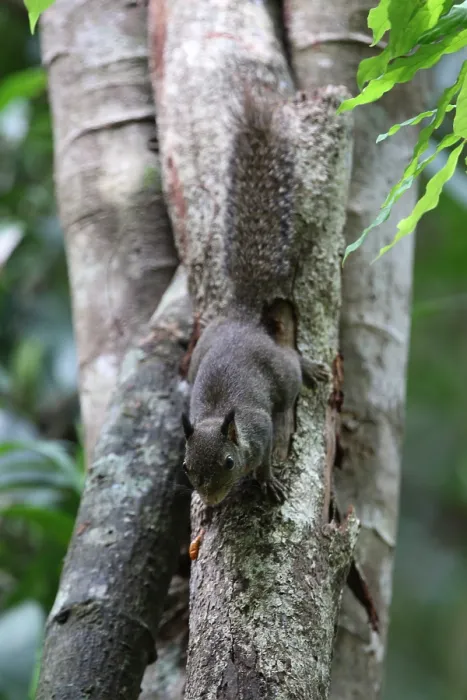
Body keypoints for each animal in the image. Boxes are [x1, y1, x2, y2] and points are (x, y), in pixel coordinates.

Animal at [181, 92, 328, 507]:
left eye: (229, 462)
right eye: (186, 468)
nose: (211, 500)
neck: (221, 419)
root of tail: (241, 317)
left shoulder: (260, 431)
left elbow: (263, 461)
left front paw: (267, 481)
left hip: (281, 372)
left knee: (291, 362)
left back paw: (309, 367)